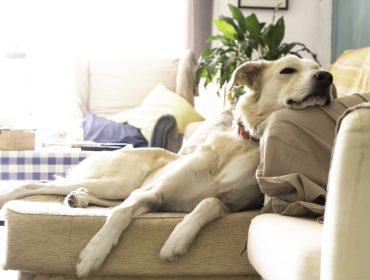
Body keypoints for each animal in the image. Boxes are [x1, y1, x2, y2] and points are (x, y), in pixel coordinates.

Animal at [0, 55, 336, 278]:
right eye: (288, 70)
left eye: (318, 68)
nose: (326, 77)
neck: (243, 145)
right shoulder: (152, 194)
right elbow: (120, 215)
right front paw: (93, 254)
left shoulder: (231, 205)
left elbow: (208, 203)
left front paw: (177, 239)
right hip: (119, 181)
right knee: (37, 185)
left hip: (118, 187)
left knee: (95, 197)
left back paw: (79, 198)